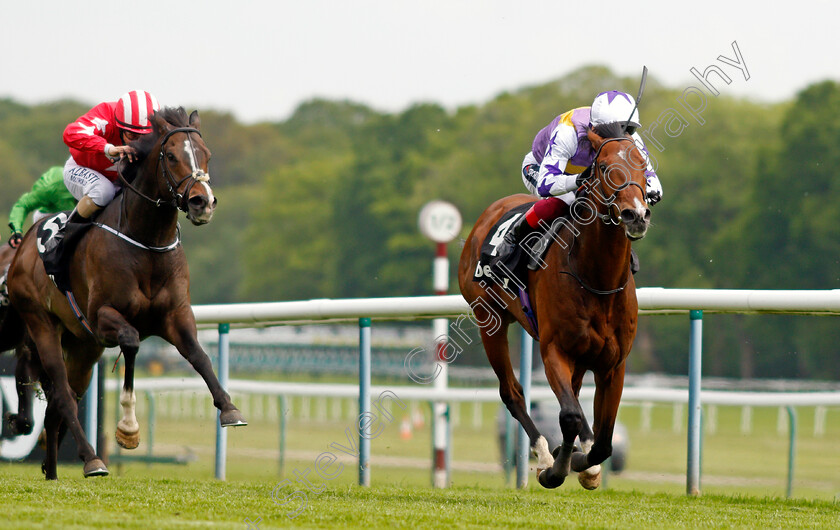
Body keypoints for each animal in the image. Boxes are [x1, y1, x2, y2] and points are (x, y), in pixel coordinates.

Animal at [4, 107, 246, 478]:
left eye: (206, 154)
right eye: (171, 156)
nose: (202, 202)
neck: (147, 242)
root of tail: (24, 246)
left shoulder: (175, 315)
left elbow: (198, 354)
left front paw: (230, 409)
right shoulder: (103, 317)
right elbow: (131, 343)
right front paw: (128, 429)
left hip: (83, 346)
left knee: (63, 400)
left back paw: (52, 468)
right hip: (42, 323)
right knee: (62, 394)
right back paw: (91, 459)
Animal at [460, 127, 648, 486]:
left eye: (644, 165)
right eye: (603, 167)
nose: (636, 214)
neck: (597, 279)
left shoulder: (613, 364)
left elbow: (604, 440)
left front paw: (584, 461)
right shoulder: (554, 350)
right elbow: (570, 415)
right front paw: (557, 467)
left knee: (573, 393)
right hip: (488, 319)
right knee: (512, 392)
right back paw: (545, 452)